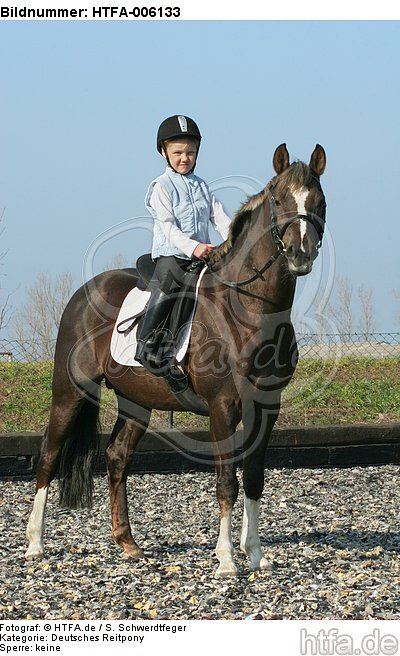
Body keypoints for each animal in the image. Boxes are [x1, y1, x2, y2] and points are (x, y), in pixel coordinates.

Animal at [25, 143, 327, 577]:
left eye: (318, 201)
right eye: (278, 200)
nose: (300, 255)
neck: (249, 310)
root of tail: (82, 294)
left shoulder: (267, 407)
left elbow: (254, 479)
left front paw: (255, 554)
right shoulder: (223, 407)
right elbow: (227, 482)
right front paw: (226, 560)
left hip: (136, 400)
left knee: (117, 457)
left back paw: (128, 544)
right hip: (70, 391)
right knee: (49, 453)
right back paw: (35, 543)